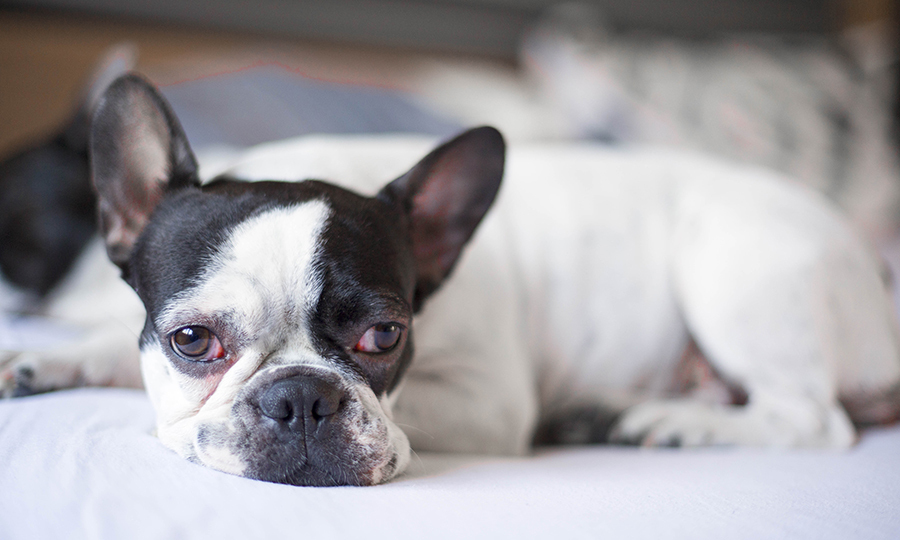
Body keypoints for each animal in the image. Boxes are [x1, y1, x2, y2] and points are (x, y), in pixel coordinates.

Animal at [5, 71, 900, 486]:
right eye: (191, 340)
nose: (300, 399)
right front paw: (42, 358)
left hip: (730, 267)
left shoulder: (489, 402)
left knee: (810, 420)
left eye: (385, 336)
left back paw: (671, 423)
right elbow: (112, 344)